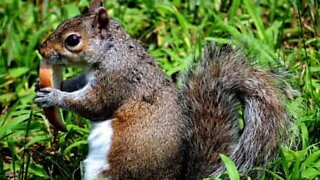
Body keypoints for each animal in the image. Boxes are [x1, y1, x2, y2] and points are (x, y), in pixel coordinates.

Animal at [35, 0, 290, 179]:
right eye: (61, 24)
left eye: (73, 40)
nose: (42, 50)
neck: (111, 52)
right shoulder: (89, 76)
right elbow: (77, 83)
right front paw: (52, 85)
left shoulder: (117, 82)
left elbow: (94, 106)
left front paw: (54, 96)